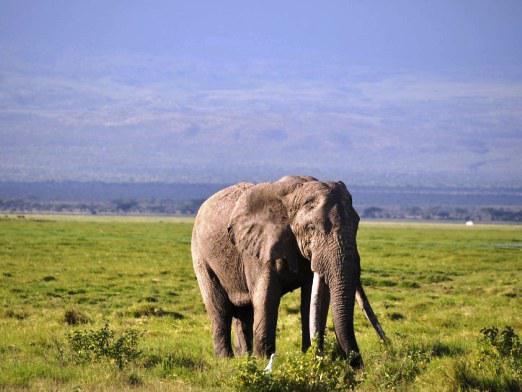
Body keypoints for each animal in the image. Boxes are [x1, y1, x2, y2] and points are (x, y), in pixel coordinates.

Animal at [189, 175, 384, 368]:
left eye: (356, 225)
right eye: (311, 228)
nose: (357, 366)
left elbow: (314, 299)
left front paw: (308, 356)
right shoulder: (258, 248)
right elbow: (266, 296)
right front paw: (265, 361)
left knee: (244, 313)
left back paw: (246, 359)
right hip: (200, 254)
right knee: (219, 309)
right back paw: (227, 361)